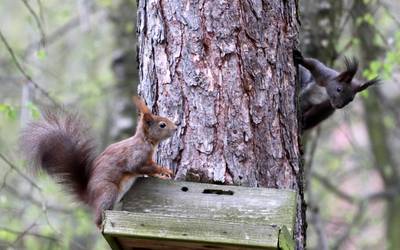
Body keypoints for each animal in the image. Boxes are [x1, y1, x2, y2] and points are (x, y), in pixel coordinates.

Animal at [19, 96, 177, 228]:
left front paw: (161, 175)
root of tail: (89, 195)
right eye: (162, 125)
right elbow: (141, 167)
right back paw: (102, 225)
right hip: (108, 191)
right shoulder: (136, 157)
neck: (146, 140)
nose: (176, 128)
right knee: (97, 217)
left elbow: (148, 172)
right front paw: (164, 170)